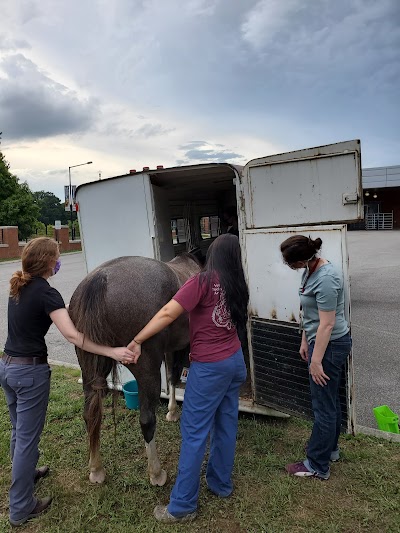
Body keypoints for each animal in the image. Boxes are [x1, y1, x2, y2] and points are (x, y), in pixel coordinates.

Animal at [69, 254, 202, 486]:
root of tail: (99, 279)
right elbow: (175, 376)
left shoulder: (170, 349)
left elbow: (171, 376)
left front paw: (172, 411)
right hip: (147, 370)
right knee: (147, 420)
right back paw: (156, 473)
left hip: (89, 369)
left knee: (89, 415)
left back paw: (96, 470)